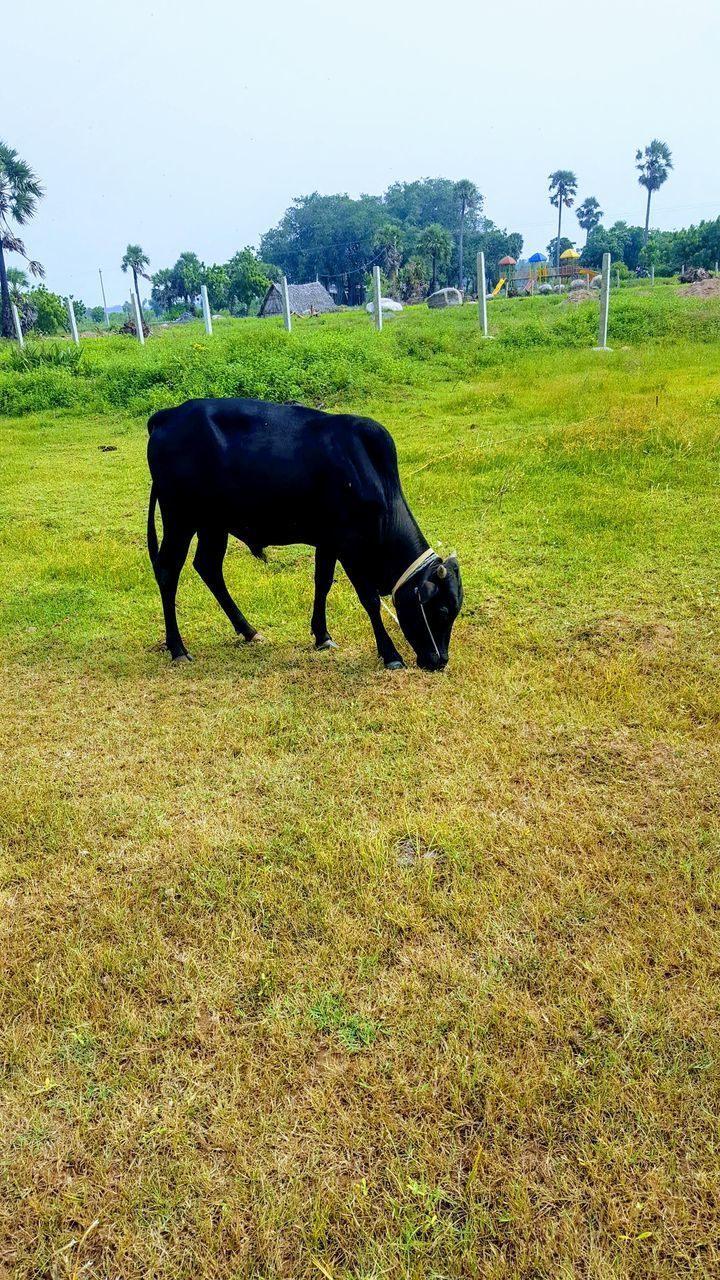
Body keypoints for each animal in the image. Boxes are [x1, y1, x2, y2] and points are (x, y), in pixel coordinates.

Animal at [146, 399, 461, 670]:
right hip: (180, 519)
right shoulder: (350, 546)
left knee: (208, 567)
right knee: (168, 571)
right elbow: (369, 599)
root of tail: (168, 415)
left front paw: (322, 636)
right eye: (442, 611)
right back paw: (178, 648)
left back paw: (248, 631)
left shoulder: (328, 541)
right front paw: (391, 655)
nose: (439, 661)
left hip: (213, 525)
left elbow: (322, 583)